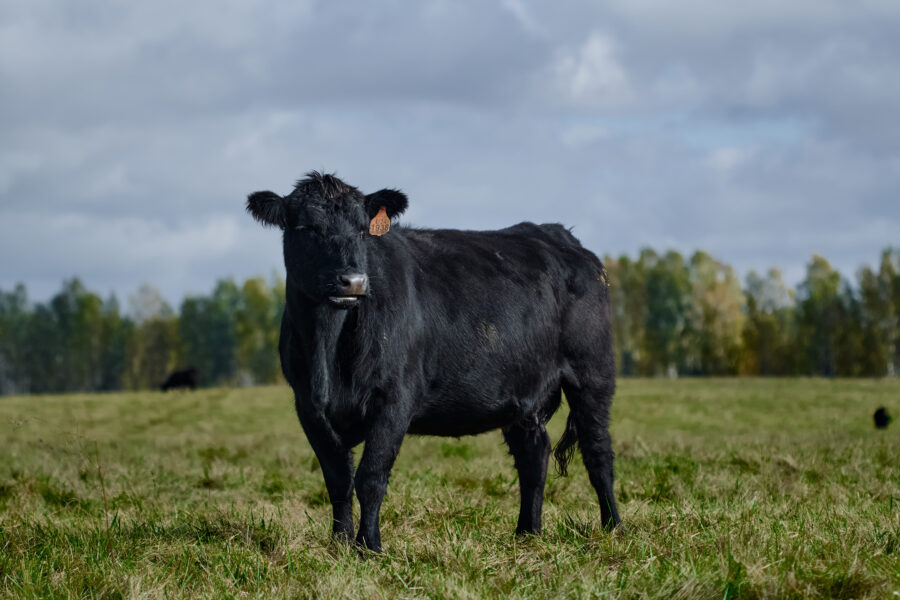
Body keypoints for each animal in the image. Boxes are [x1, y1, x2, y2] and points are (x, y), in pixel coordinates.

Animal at [250, 171, 624, 552]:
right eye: (307, 228)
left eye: (362, 230)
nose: (353, 281)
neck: (328, 351)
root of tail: (557, 234)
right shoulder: (309, 407)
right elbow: (338, 480)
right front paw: (339, 545)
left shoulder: (394, 400)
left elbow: (370, 477)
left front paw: (369, 547)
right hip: (524, 393)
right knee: (534, 456)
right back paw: (527, 533)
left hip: (592, 373)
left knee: (598, 452)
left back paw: (614, 528)